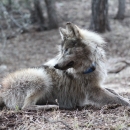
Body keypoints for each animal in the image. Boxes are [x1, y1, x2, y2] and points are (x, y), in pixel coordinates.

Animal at [0, 22, 130, 109]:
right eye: (62, 51)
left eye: (67, 50)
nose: (55, 66)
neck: (87, 67)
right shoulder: (93, 91)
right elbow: (118, 98)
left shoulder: (98, 86)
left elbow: (114, 91)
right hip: (42, 78)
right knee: (26, 107)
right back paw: (51, 106)